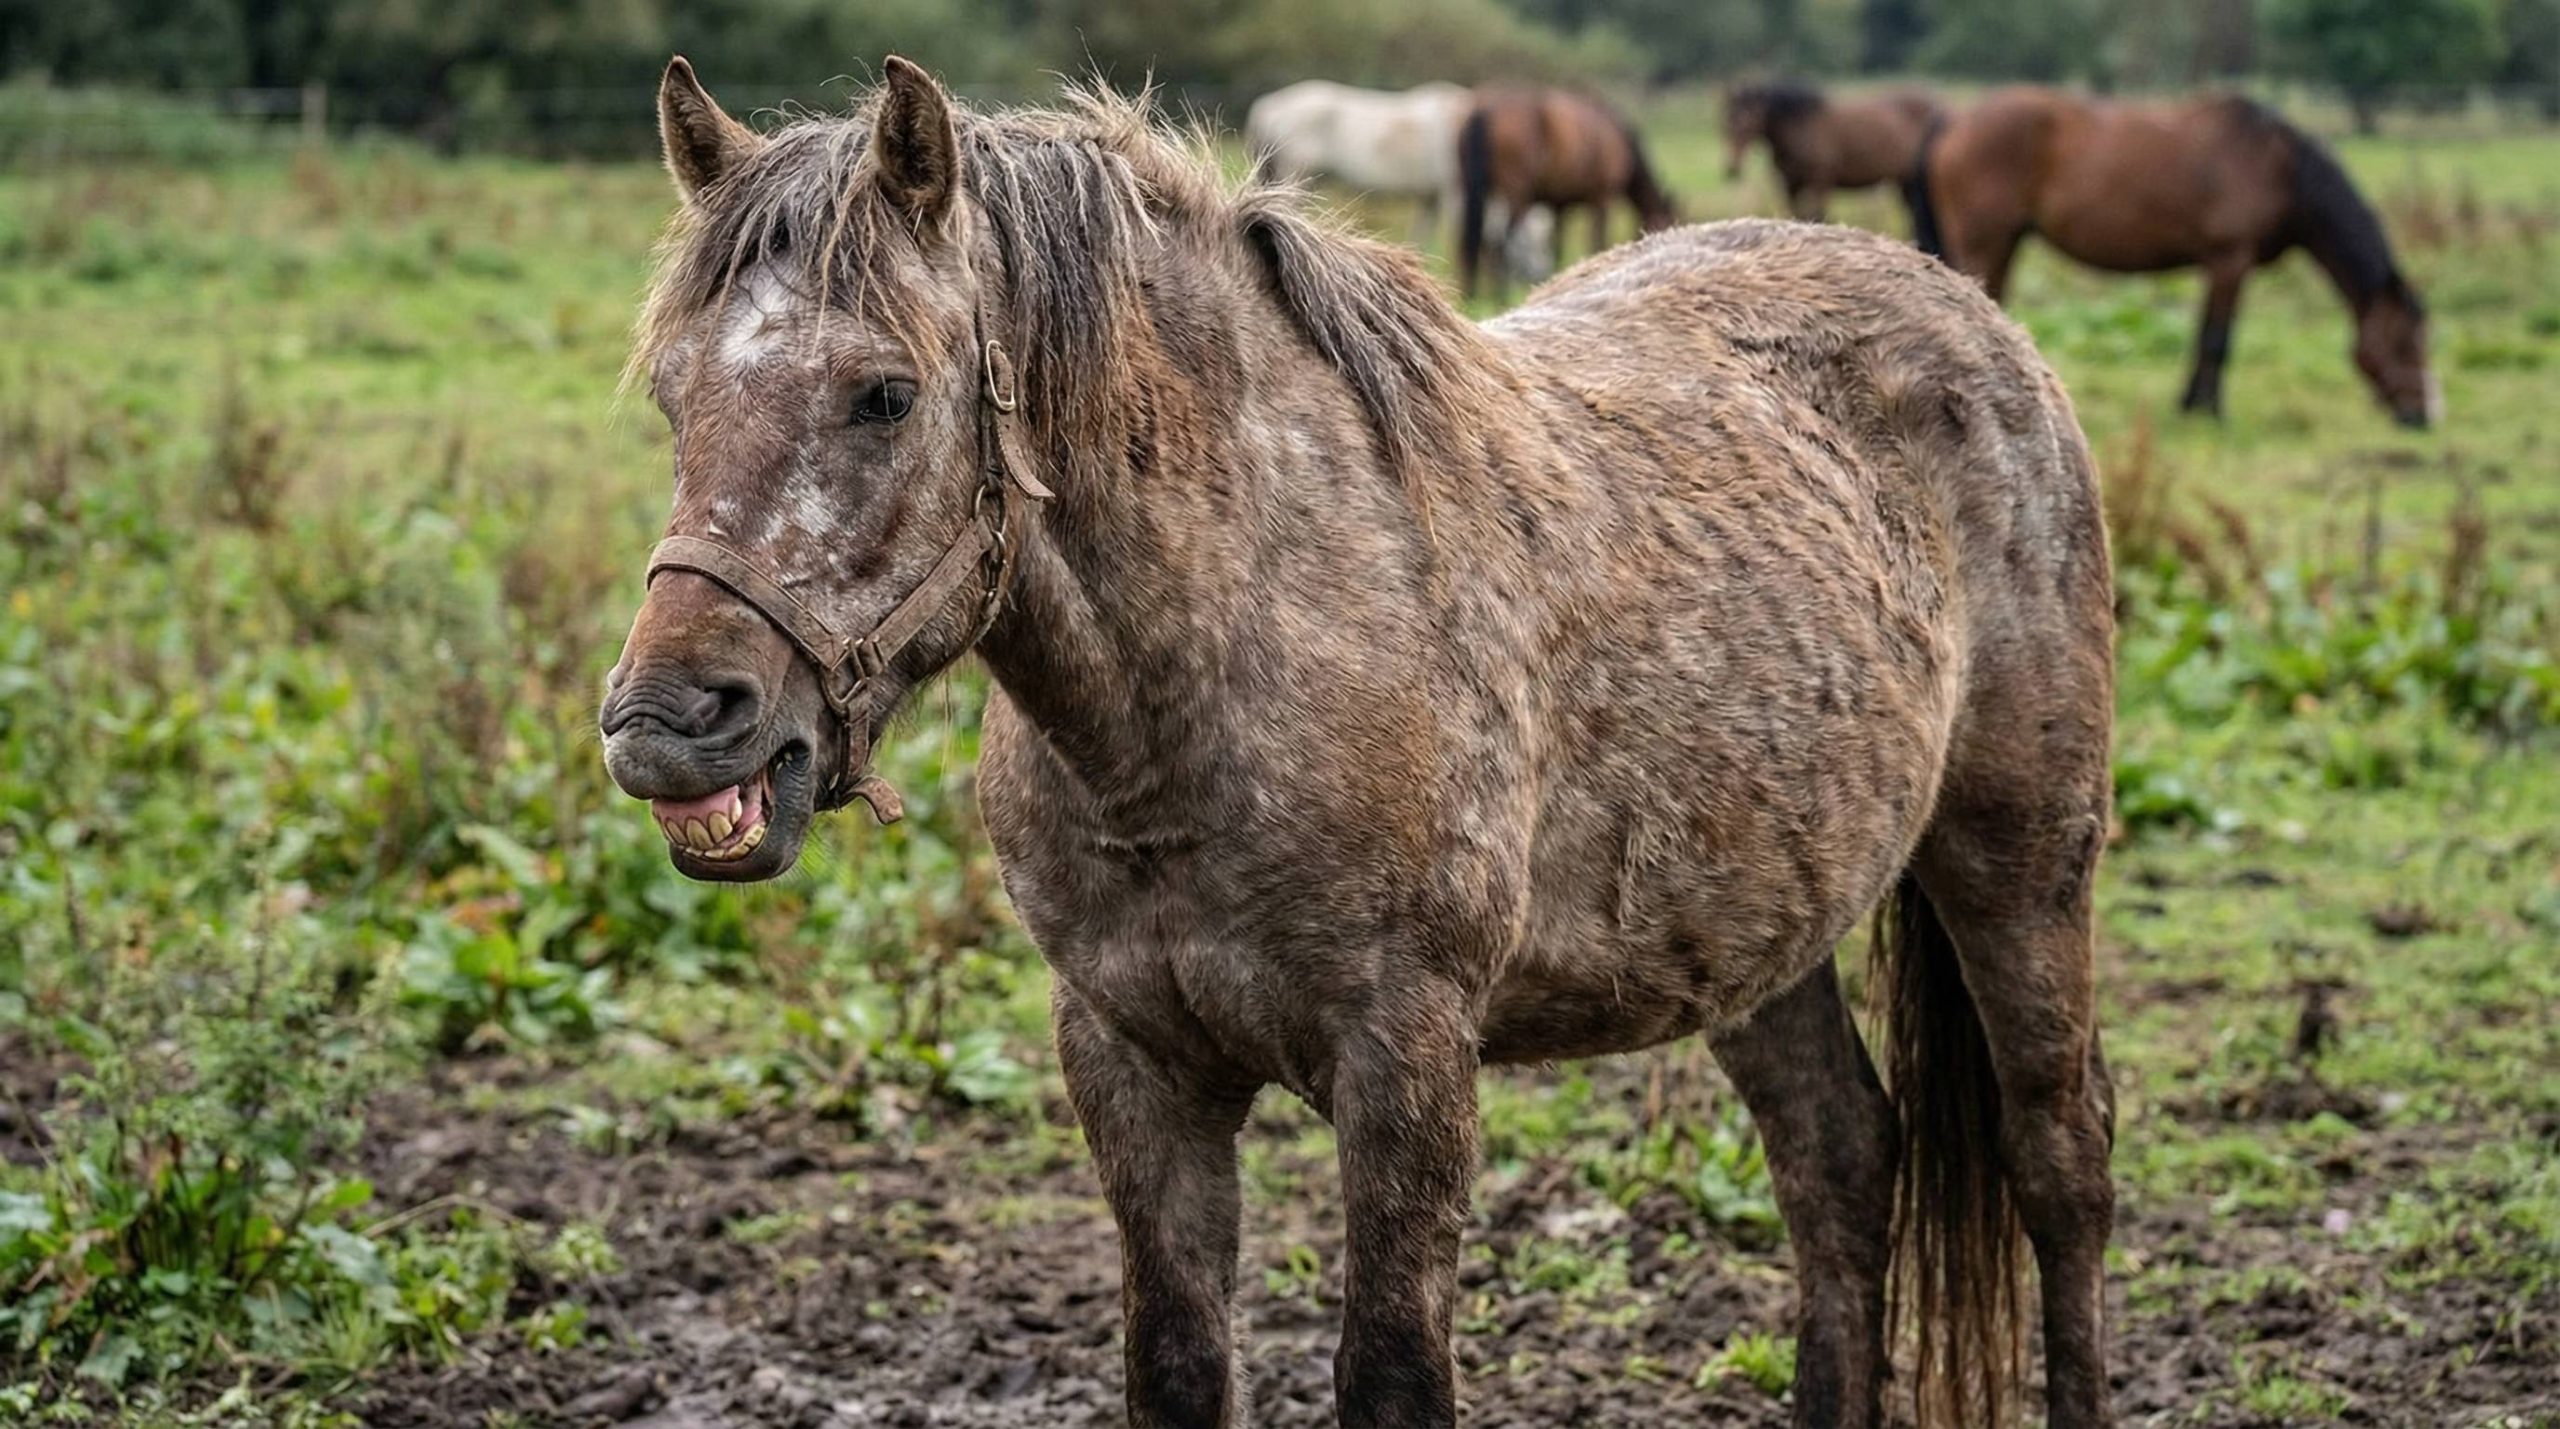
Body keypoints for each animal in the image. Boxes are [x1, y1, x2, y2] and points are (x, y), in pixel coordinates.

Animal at [1457, 87, 1677, 299]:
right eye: (1663, 225)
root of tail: (1485, 112)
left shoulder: (1559, 206)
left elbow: (1557, 247)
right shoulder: (1601, 199)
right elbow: (1597, 241)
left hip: (1475, 191)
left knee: (1479, 241)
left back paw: (1474, 292)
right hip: (1517, 196)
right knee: (1500, 244)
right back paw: (1500, 295)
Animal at [1723, 80, 1945, 227]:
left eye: (1747, 122)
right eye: (1725, 123)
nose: (1732, 169)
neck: (1801, 128)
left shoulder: (1821, 182)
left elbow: (1818, 216)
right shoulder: (1789, 185)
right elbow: (1796, 216)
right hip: (1905, 183)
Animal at [1911, 87, 2436, 427]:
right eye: (2406, 343)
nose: (2425, 416)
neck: (2279, 168)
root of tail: (1954, 122)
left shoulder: (2216, 266)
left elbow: (2203, 335)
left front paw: (2190, 403)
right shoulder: (2230, 261)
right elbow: (2218, 340)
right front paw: (2213, 413)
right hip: (1986, 242)